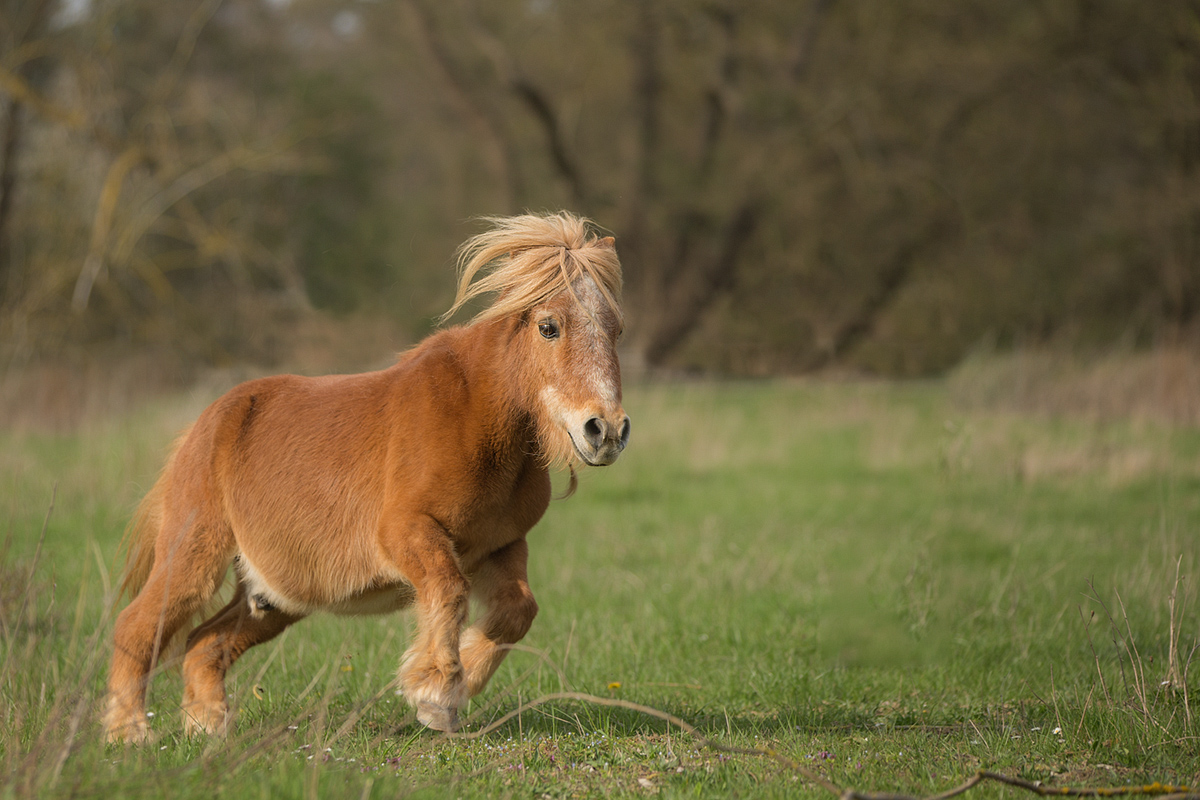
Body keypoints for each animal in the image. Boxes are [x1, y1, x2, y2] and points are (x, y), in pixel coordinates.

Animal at [100, 212, 638, 743]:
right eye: (549, 327)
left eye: (616, 331)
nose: (606, 430)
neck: (475, 417)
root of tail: (206, 423)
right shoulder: (407, 532)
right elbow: (449, 589)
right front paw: (436, 695)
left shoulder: (501, 546)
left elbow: (518, 610)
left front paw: (458, 684)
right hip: (193, 554)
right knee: (137, 626)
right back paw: (129, 733)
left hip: (273, 598)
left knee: (201, 643)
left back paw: (207, 728)